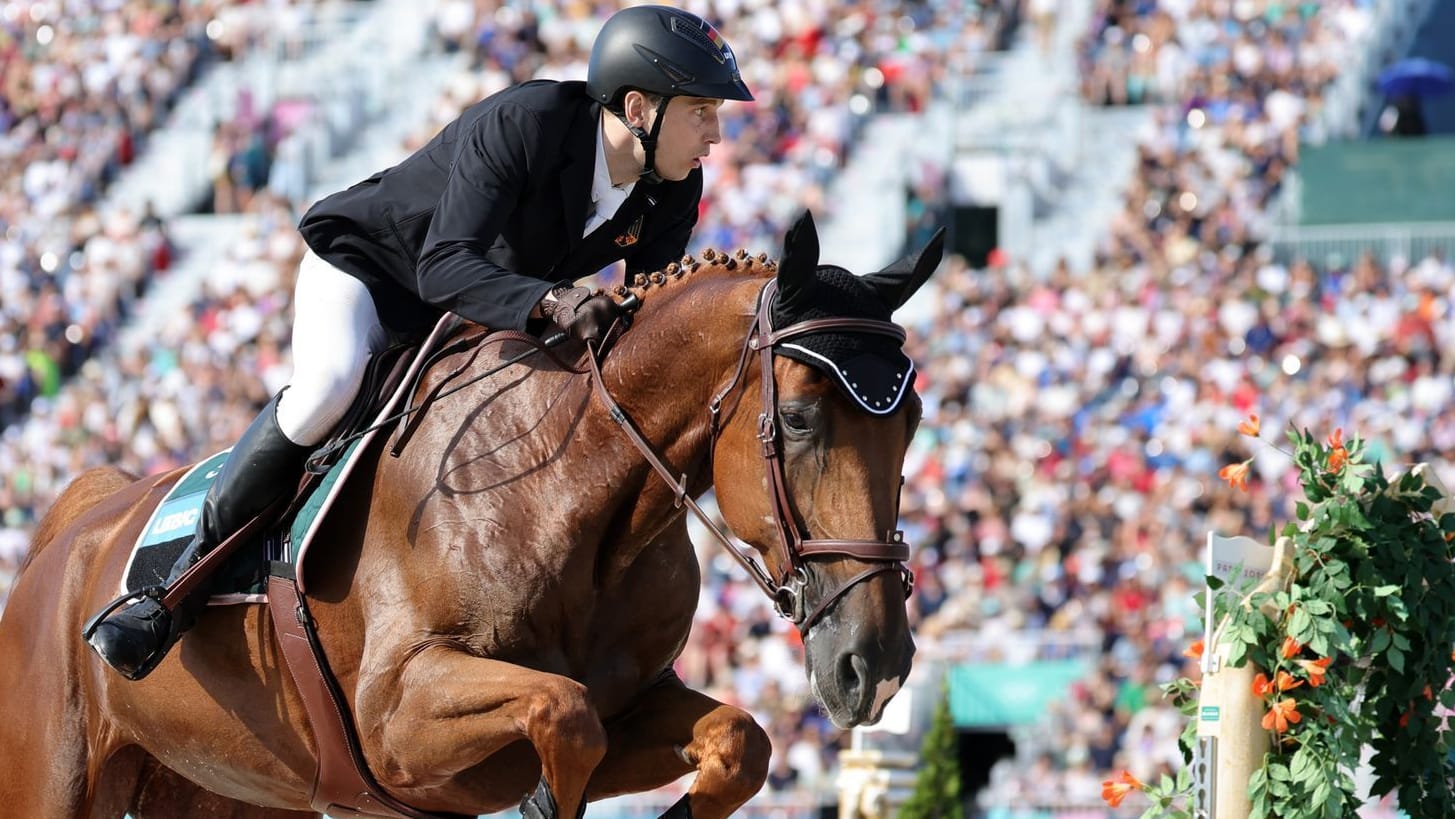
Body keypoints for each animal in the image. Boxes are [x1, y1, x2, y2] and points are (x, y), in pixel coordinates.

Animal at [0, 213, 942, 819]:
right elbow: (564, 712)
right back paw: (136, 622)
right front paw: (542, 801)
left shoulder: (636, 705)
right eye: (799, 420)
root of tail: (69, 527)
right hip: (55, 778)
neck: (575, 492)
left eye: (914, 423)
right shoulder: (395, 719)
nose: (875, 665)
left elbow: (737, 739)